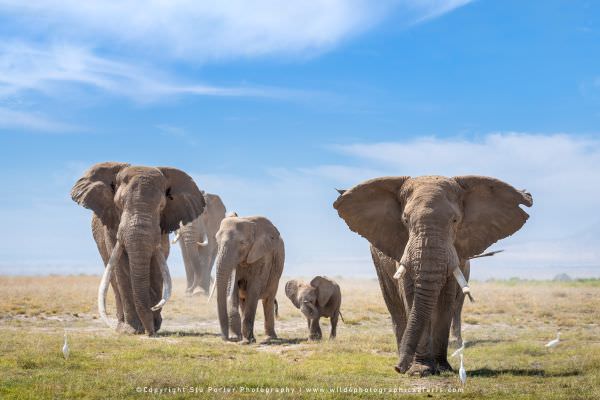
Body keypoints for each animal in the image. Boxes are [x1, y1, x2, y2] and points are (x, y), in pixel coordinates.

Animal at [71, 162, 204, 334]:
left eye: (161, 206)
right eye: (119, 204)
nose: (150, 332)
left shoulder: (162, 228)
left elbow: (156, 267)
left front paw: (153, 326)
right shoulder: (112, 225)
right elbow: (122, 267)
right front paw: (132, 330)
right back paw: (121, 326)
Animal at [211, 216, 286, 344]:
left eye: (242, 243)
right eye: (217, 242)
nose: (226, 339)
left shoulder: (262, 256)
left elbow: (253, 289)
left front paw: (247, 341)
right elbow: (232, 288)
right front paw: (236, 338)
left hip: (276, 273)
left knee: (268, 300)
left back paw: (270, 338)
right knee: (243, 302)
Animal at [332, 174, 536, 376]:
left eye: (455, 220)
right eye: (405, 220)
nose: (398, 368)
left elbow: (446, 299)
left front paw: (442, 367)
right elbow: (410, 294)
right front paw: (420, 370)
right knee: (394, 302)